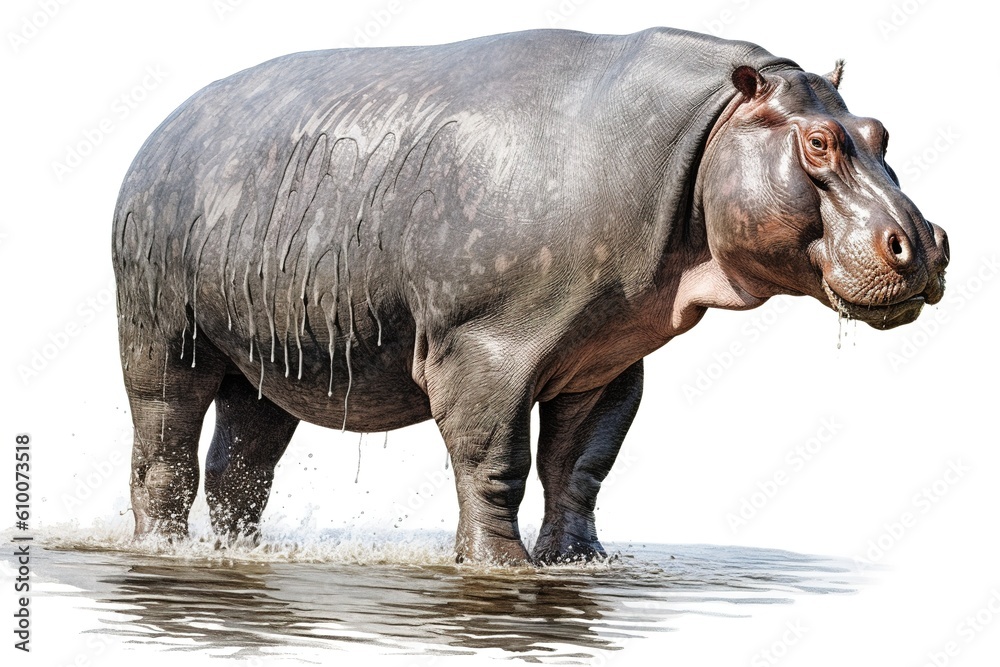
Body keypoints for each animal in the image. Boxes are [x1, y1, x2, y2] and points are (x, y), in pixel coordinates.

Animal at [112, 27, 949, 564]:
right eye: (818, 142)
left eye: (879, 129)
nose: (927, 240)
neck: (707, 128)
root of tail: (159, 132)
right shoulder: (484, 346)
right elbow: (496, 459)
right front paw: (500, 566)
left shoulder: (607, 357)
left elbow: (581, 464)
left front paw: (581, 563)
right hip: (159, 329)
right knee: (163, 446)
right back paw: (164, 550)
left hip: (266, 349)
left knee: (242, 461)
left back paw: (243, 553)